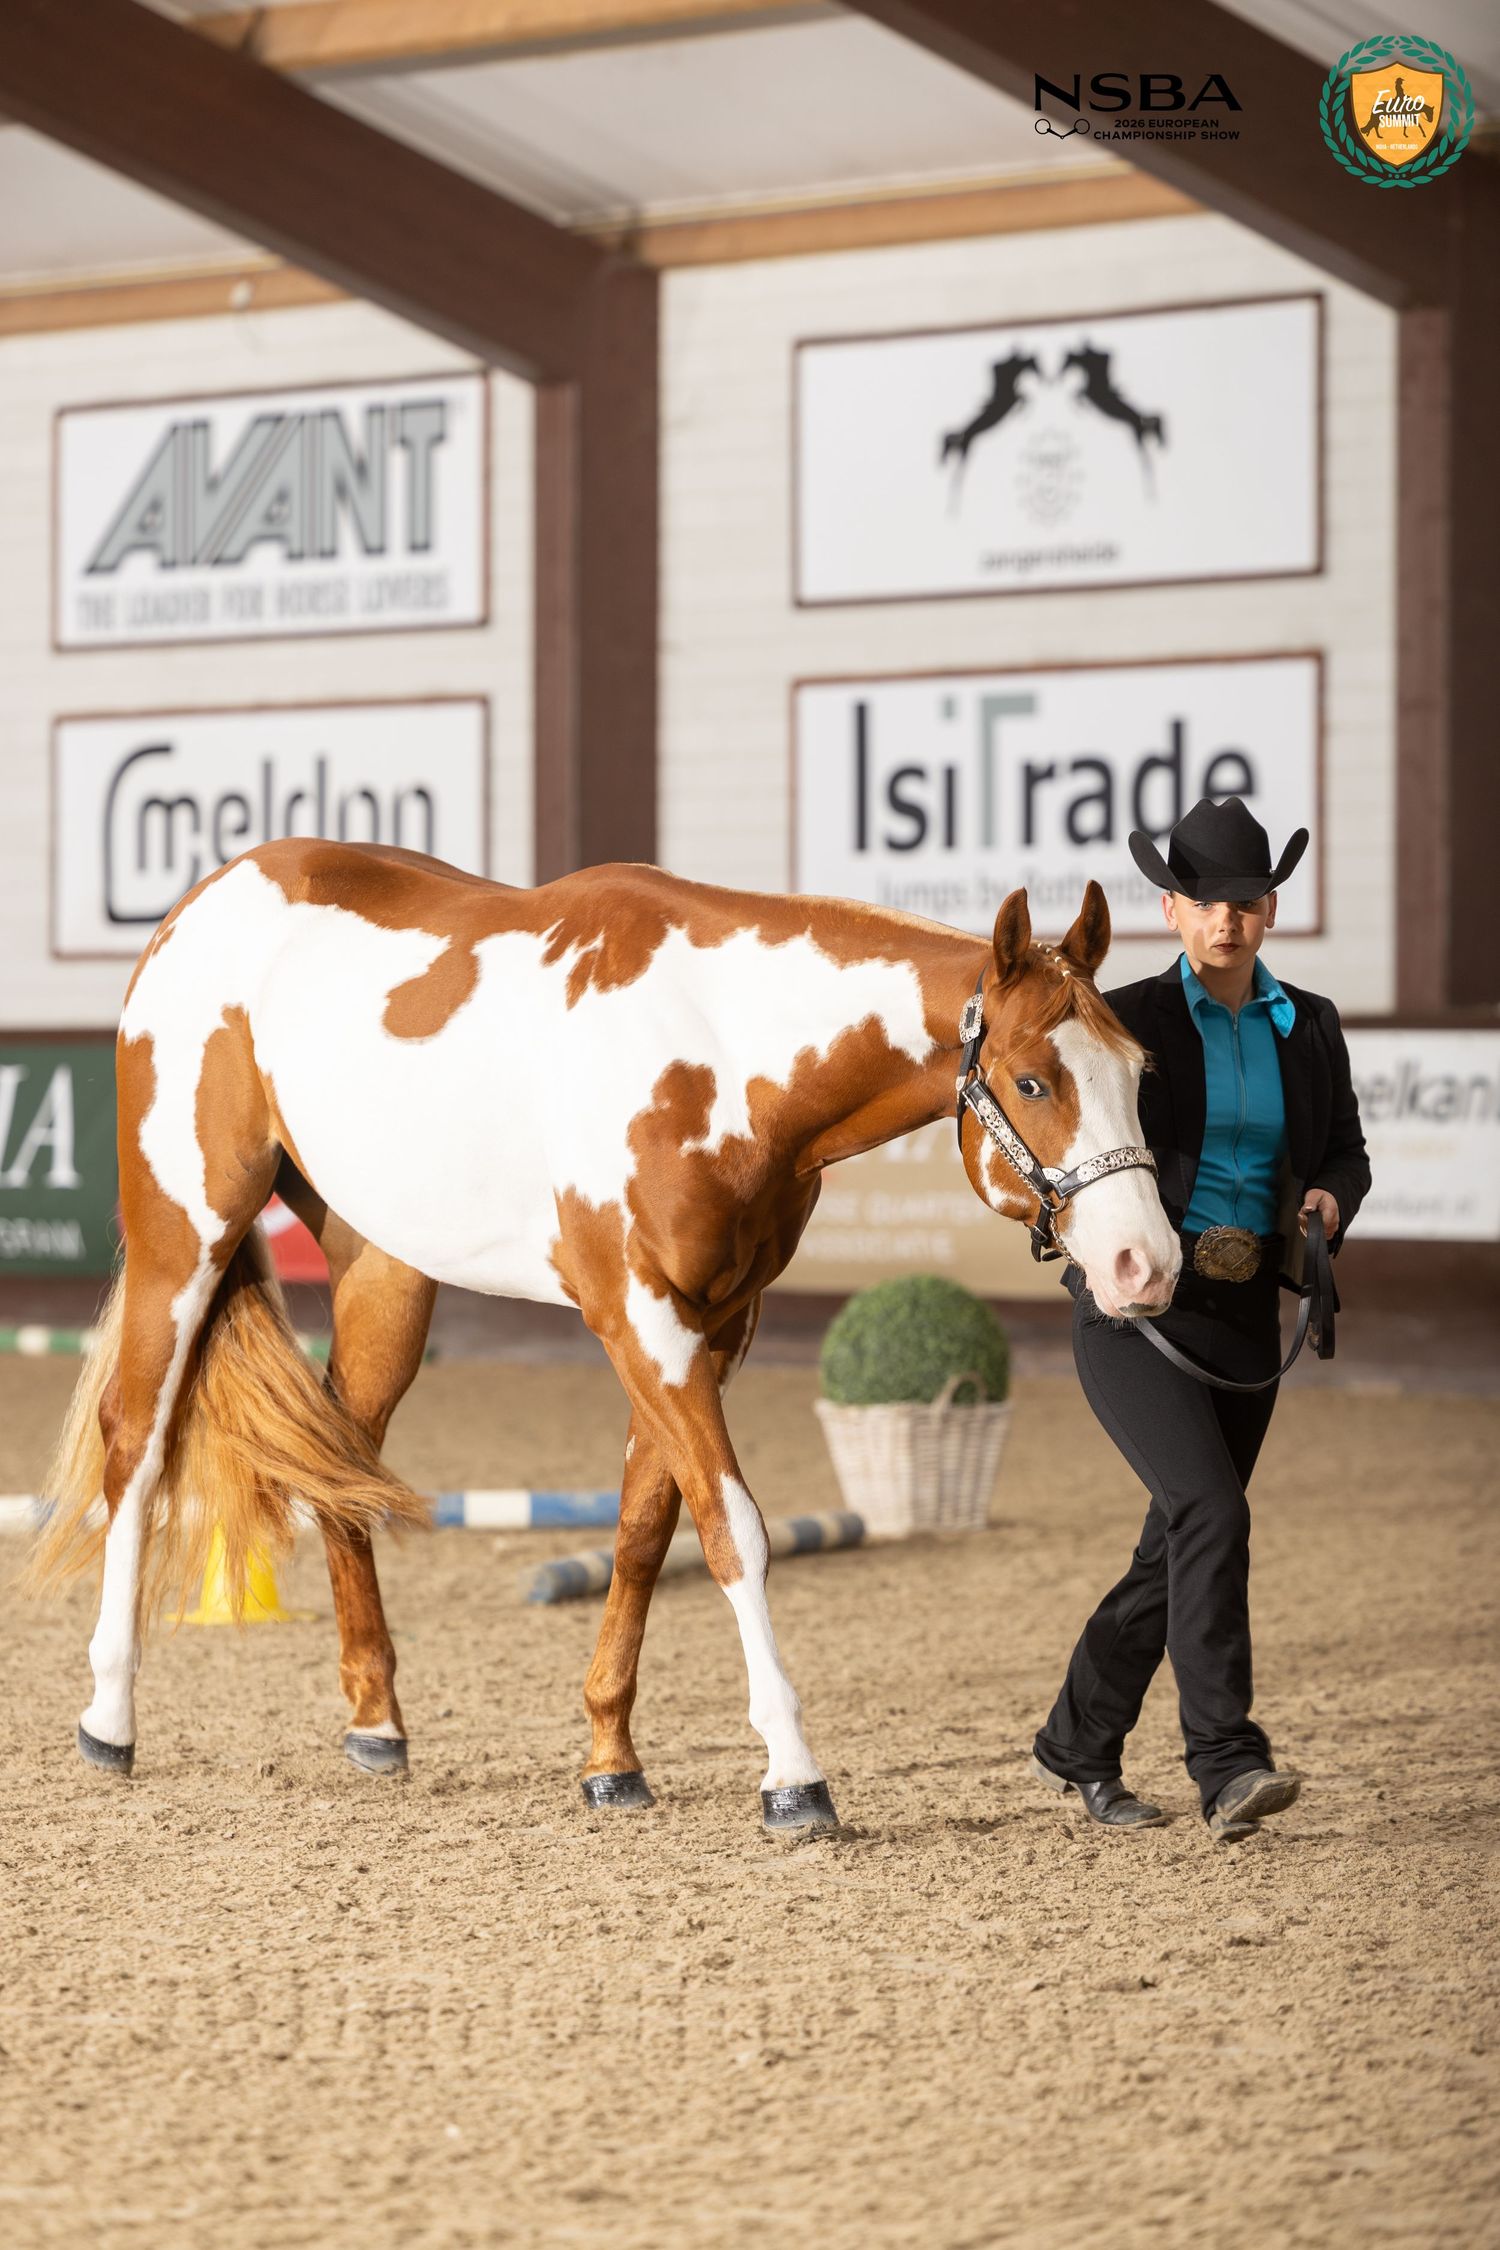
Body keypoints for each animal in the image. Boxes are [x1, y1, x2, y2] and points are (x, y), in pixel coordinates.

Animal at [32, 844, 1180, 1830]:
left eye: (1139, 1072)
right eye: (1032, 1081)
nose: (1147, 1266)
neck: (717, 1050)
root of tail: (200, 904)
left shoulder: (715, 1325)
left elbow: (643, 1530)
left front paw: (611, 1761)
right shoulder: (638, 1314)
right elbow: (732, 1528)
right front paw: (792, 1777)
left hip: (383, 1273)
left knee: (343, 1457)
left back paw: (376, 1726)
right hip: (186, 1236)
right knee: (138, 1446)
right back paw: (109, 1721)